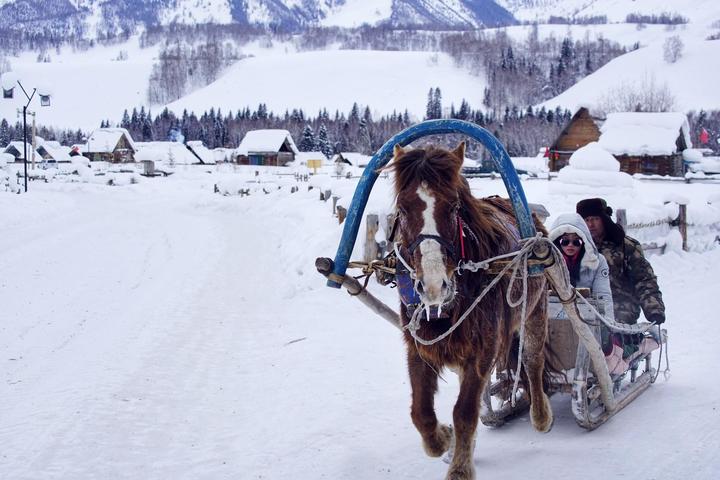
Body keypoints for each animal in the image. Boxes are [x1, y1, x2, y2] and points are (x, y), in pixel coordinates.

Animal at [388, 142, 552, 480]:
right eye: (403, 209)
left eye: (453, 208)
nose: (434, 286)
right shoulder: (419, 348)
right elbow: (421, 413)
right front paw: (444, 439)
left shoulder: (482, 351)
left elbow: (465, 412)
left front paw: (460, 468)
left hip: (535, 309)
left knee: (532, 360)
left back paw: (541, 414)